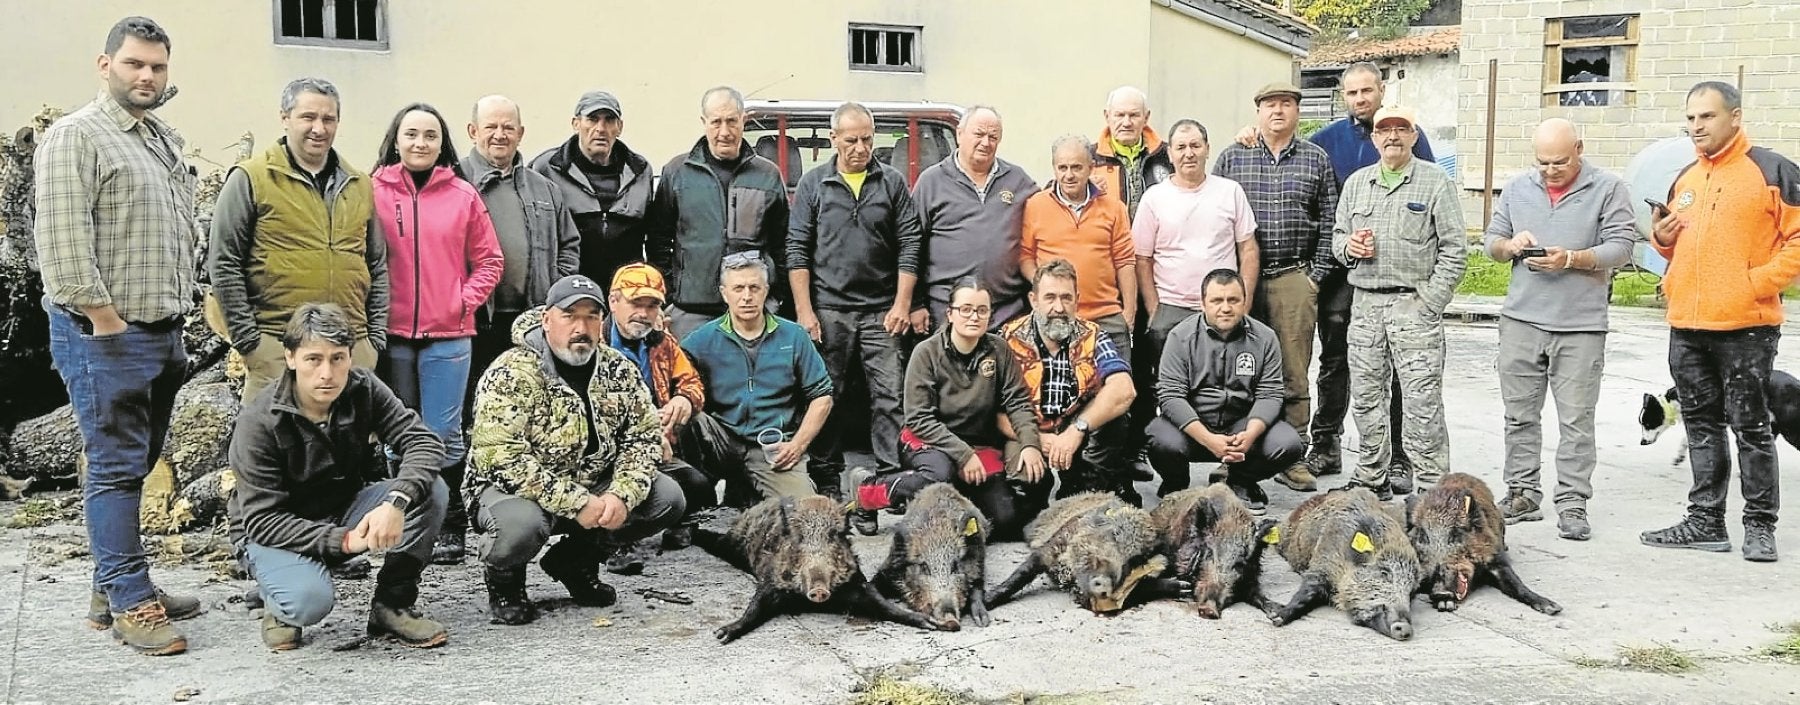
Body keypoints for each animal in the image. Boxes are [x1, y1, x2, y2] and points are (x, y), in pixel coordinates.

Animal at [1641, 368, 1800, 464]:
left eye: (1647, 423)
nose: (1642, 442)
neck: (1674, 401)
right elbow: (1686, 440)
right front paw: (1680, 456)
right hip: (1773, 426)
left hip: (1790, 430)